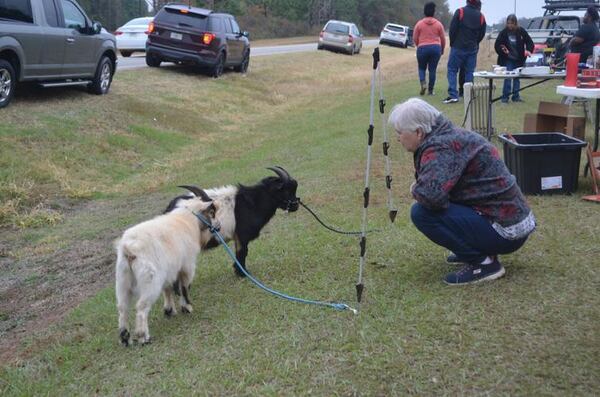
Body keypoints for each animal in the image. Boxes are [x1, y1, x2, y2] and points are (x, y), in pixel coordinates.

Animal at [115, 191, 218, 344]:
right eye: (211, 212)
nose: (218, 227)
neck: (186, 221)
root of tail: (128, 248)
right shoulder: (187, 266)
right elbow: (184, 287)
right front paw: (187, 308)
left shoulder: (169, 272)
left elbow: (168, 289)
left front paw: (169, 311)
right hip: (150, 281)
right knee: (141, 307)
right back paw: (143, 337)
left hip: (122, 280)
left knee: (122, 308)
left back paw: (125, 338)